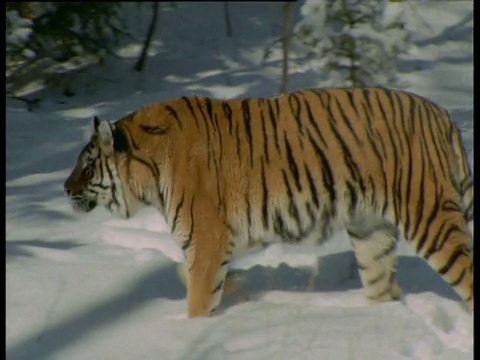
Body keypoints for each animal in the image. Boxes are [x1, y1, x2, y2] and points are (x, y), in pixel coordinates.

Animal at [62, 88, 472, 318]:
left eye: (87, 164)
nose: (64, 188)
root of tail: (444, 116)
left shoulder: (208, 238)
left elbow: (199, 297)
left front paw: (194, 330)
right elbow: (192, 275)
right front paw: (237, 288)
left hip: (430, 217)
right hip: (371, 232)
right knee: (382, 287)